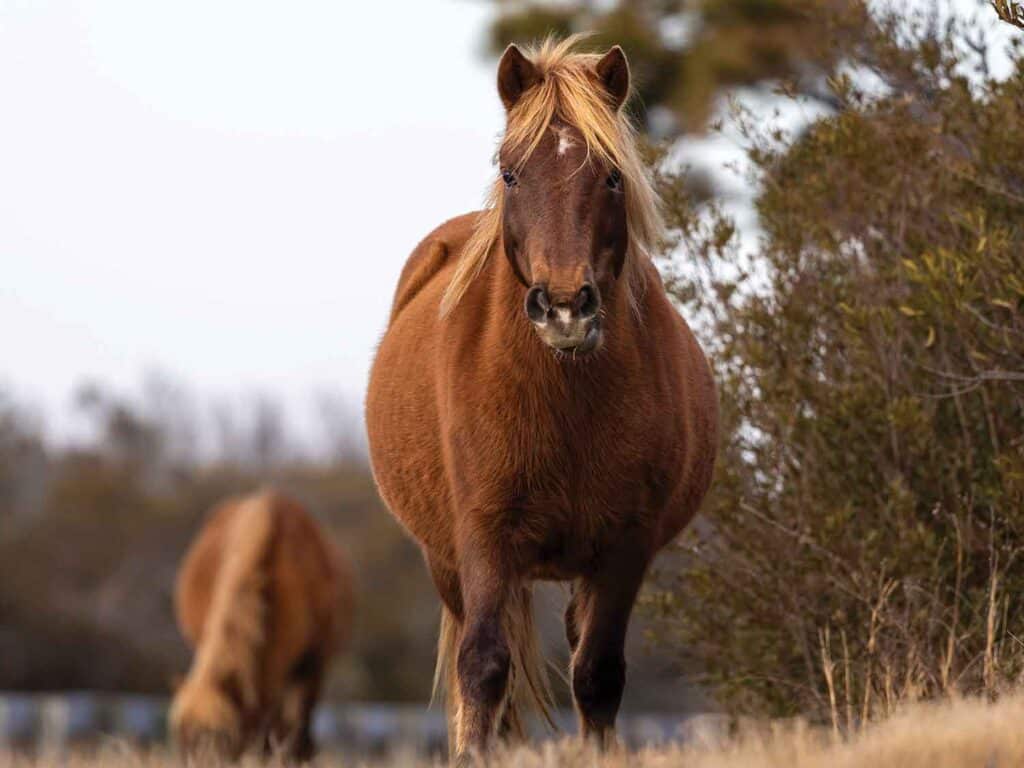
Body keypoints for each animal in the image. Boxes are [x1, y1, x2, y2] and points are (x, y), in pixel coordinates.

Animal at [364, 37, 716, 765]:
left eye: (611, 177)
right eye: (511, 174)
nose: (563, 308)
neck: (564, 401)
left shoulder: (624, 549)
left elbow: (598, 676)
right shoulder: (483, 540)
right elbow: (483, 667)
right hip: (448, 564)